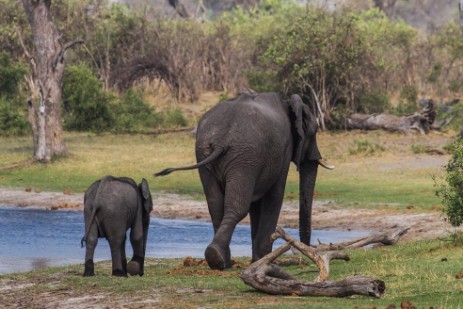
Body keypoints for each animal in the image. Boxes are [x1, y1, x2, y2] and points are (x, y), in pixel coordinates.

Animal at [156, 92, 334, 270]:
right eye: (315, 131)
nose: (305, 256)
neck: (287, 102)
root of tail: (221, 140)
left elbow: (256, 205)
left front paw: (258, 260)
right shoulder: (283, 151)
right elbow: (274, 196)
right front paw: (263, 259)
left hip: (210, 154)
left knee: (216, 206)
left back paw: (219, 260)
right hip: (243, 157)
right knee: (237, 207)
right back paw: (219, 258)